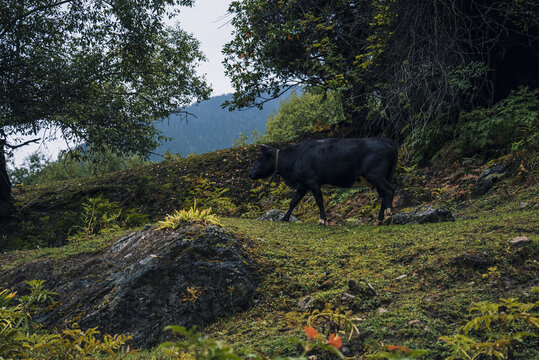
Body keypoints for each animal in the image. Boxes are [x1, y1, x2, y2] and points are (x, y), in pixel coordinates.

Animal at [251, 138, 398, 225]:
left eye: (259, 158)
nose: (250, 173)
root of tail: (389, 142)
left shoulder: (312, 181)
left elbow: (319, 200)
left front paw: (322, 220)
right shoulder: (303, 185)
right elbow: (293, 202)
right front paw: (284, 218)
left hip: (376, 175)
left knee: (390, 190)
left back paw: (388, 214)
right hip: (379, 177)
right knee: (383, 195)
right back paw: (379, 220)